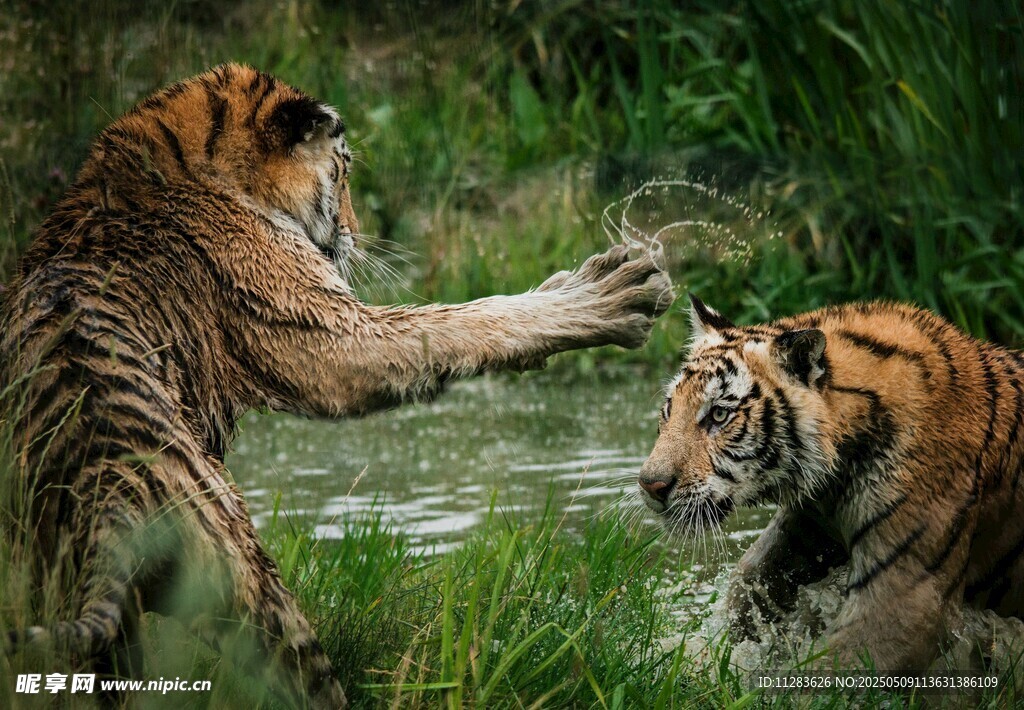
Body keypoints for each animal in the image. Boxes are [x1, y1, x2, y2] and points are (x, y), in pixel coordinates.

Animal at [0, 62, 674, 707]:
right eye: (344, 173)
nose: (353, 233)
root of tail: (105, 482)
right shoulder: (333, 336)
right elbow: (463, 320)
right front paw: (612, 294)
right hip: (248, 579)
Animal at [638, 294, 1024, 672]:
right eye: (670, 408)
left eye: (719, 414)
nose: (649, 485)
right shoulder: (807, 526)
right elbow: (747, 584)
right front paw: (692, 660)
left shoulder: (906, 600)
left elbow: (822, 672)